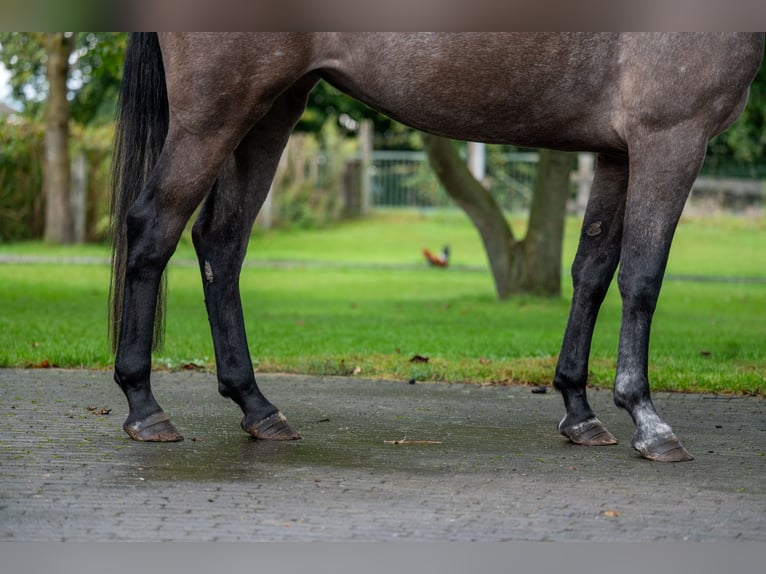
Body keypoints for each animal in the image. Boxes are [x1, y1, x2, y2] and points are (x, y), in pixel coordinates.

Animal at [111, 32, 764, 464]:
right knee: (152, 229)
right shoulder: (669, 137)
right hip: (214, 114)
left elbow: (593, 273)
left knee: (221, 242)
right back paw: (145, 408)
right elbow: (643, 278)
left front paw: (579, 410)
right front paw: (647, 420)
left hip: (272, 108)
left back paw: (257, 407)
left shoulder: (616, 151)